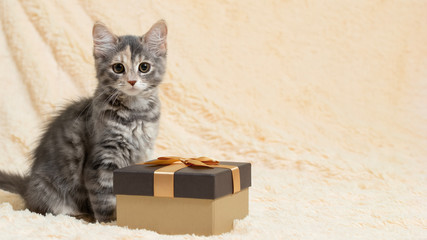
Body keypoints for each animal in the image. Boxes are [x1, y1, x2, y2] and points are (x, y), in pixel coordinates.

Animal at [0, 19, 168, 222]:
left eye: (144, 67)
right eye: (118, 68)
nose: (132, 81)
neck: (135, 113)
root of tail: (27, 187)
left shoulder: (143, 152)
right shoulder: (101, 160)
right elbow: (105, 197)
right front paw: (110, 222)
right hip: (48, 190)